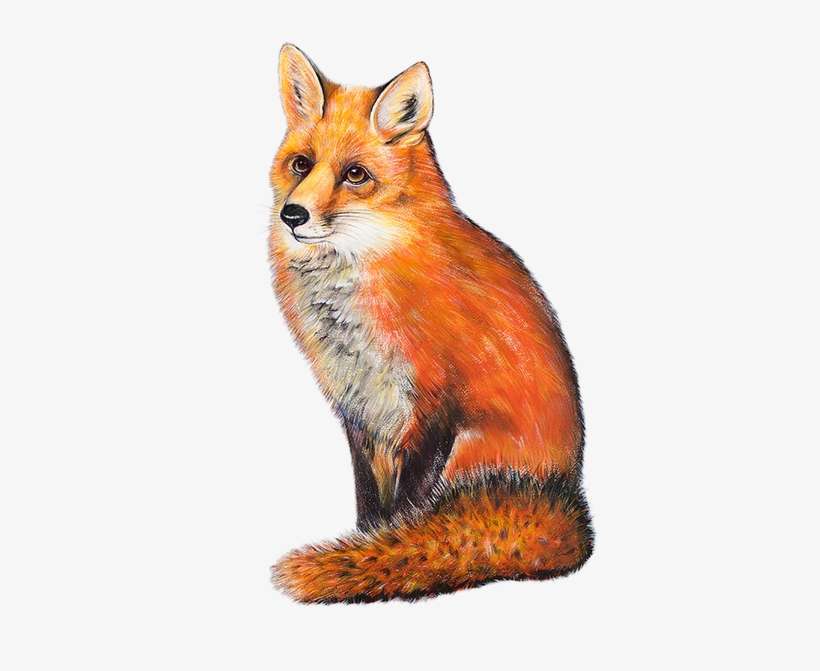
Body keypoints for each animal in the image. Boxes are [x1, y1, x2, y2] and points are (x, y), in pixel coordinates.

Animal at [269, 44, 593, 603]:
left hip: (471, 450)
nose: (293, 214)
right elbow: (370, 505)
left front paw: (384, 555)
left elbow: (405, 511)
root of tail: (565, 503)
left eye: (355, 175)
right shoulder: (359, 410)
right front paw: (365, 546)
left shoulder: (431, 407)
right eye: (301, 164)